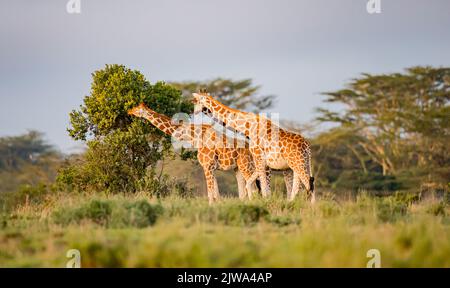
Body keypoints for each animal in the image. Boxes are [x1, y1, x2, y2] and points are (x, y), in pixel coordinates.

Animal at [126, 102, 260, 204]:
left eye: (137, 108)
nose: (129, 111)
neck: (195, 137)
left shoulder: (208, 166)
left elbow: (210, 194)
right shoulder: (210, 167)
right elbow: (216, 194)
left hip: (246, 166)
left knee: (253, 188)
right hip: (238, 168)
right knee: (244, 192)